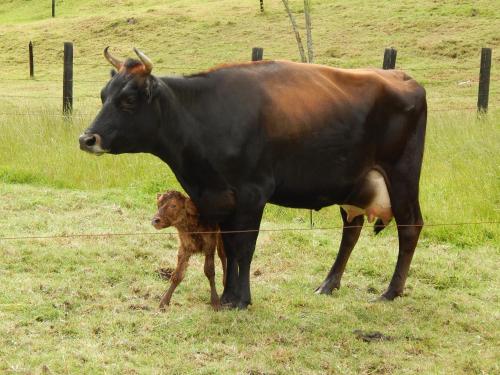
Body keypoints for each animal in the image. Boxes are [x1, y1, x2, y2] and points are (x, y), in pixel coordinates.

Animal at [80, 48, 428, 310]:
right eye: (103, 95)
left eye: (128, 100)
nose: (87, 139)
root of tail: (402, 77)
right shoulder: (220, 198)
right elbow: (230, 248)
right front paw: (227, 295)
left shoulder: (252, 194)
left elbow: (244, 246)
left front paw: (240, 299)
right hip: (353, 185)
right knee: (351, 231)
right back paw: (328, 285)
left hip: (402, 177)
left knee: (410, 227)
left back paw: (391, 292)